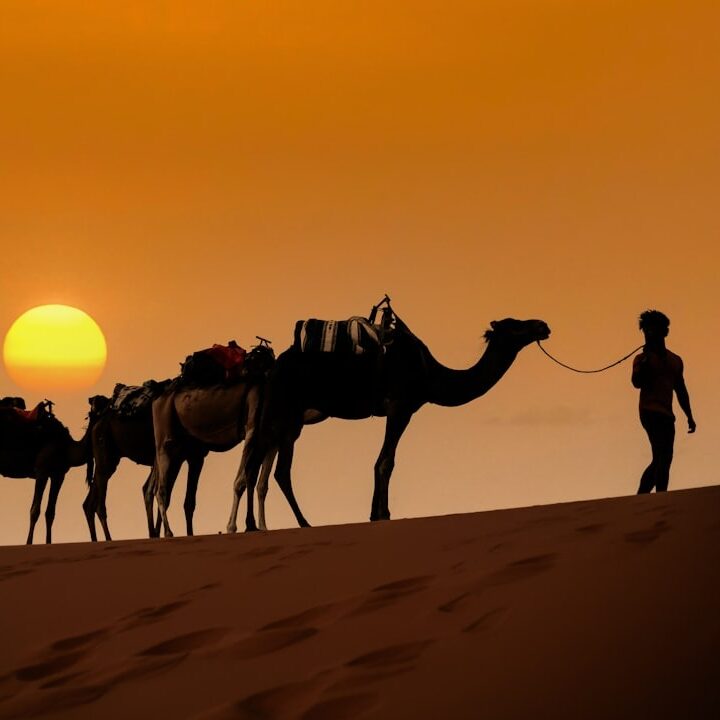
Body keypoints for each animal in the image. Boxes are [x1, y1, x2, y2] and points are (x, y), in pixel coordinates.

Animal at [0, 400, 95, 544]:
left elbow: (50, 512)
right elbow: (34, 511)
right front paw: (28, 543)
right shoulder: (42, 472)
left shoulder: (58, 475)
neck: (66, 447)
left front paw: (48, 542)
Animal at [82, 395, 208, 542]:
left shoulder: (193, 456)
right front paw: (166, 533)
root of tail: (97, 421)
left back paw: (95, 539)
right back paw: (108, 538)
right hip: (105, 454)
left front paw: (159, 533)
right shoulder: (184, 456)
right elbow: (165, 495)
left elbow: (178, 498)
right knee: (99, 504)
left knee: (88, 503)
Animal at [228, 313, 551, 532]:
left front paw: (375, 513)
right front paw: (382, 514)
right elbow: (386, 461)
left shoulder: (399, 409)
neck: (430, 373)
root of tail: (273, 365)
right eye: (515, 324)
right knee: (261, 463)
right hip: (281, 407)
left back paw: (278, 524)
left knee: (271, 467)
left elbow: (382, 460)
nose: (543, 325)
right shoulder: (401, 407)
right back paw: (275, 524)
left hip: (289, 417)